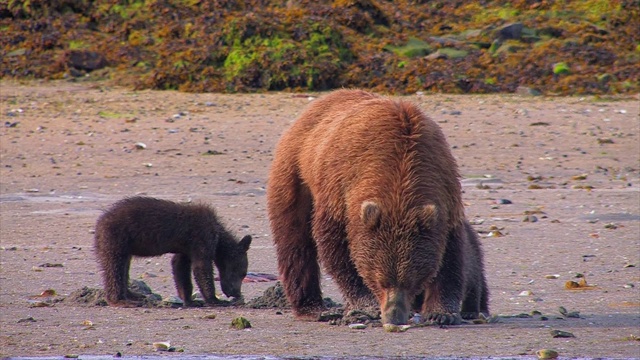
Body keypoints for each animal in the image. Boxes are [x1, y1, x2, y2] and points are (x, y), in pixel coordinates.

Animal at [94, 197, 251, 306]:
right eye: (243, 273)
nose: (236, 293)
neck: (218, 237)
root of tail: (99, 223)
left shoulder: (187, 248)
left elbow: (180, 267)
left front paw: (190, 300)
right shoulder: (201, 237)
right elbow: (201, 267)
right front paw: (214, 299)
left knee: (123, 267)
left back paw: (134, 294)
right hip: (117, 237)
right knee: (115, 267)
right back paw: (122, 300)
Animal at [268, 88, 488, 324]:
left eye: (412, 281)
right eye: (381, 281)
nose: (394, 316)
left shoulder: (446, 191)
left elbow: (451, 256)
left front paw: (441, 313)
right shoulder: (339, 191)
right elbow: (337, 250)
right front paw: (365, 305)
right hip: (295, 172)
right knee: (295, 242)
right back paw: (312, 307)